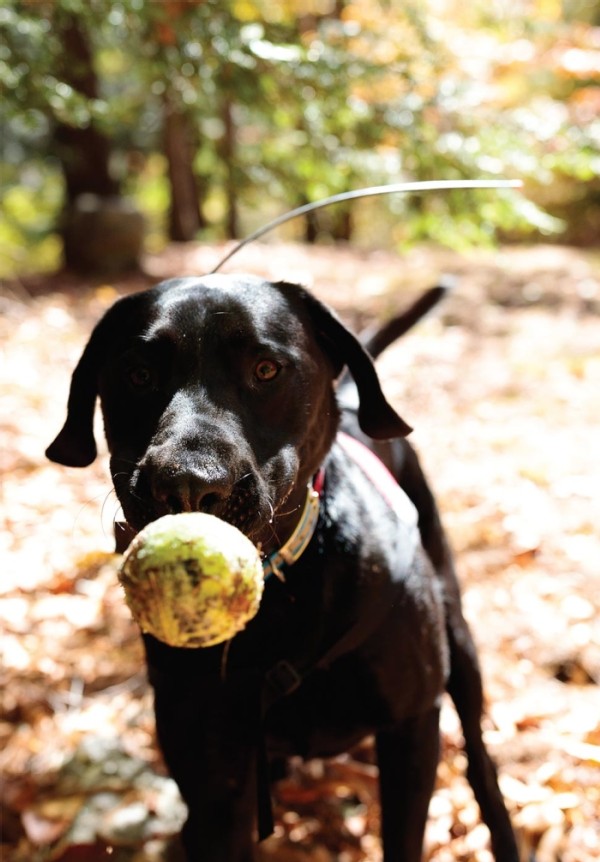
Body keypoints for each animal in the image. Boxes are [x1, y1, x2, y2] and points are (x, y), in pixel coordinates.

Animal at [47, 276, 516, 862]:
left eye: (267, 369)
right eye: (138, 374)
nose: (187, 485)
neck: (284, 599)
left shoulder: (411, 725)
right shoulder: (214, 778)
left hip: (458, 638)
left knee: (479, 756)